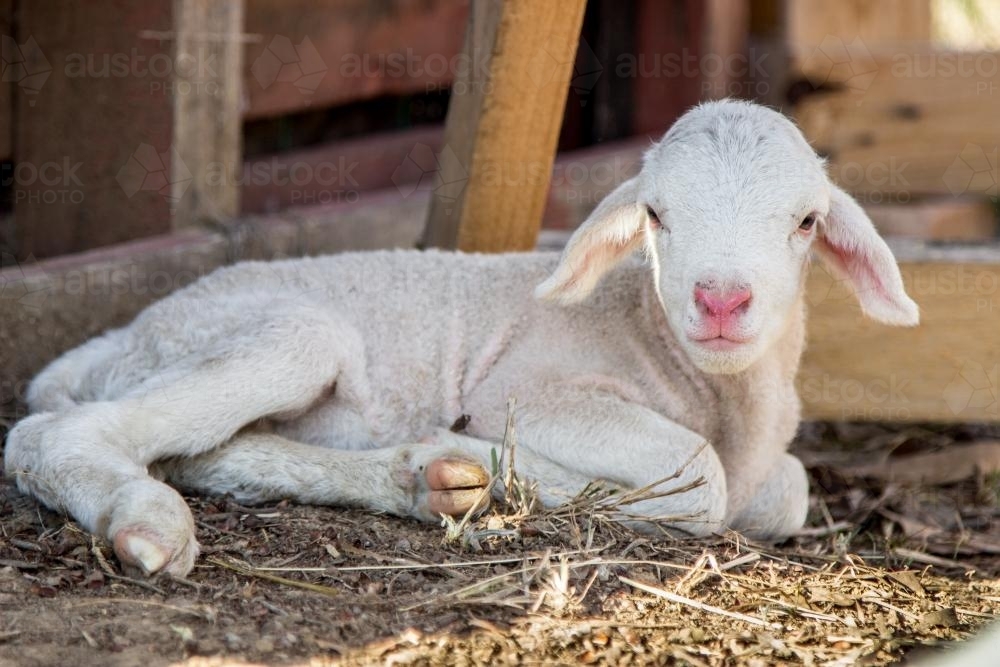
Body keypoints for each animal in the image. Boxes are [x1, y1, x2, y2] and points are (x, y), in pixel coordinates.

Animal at [3, 100, 916, 580]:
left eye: (807, 221)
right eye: (656, 214)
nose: (722, 299)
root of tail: (126, 330)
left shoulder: (771, 463)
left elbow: (786, 488)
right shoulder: (528, 388)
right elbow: (702, 479)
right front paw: (509, 462)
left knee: (209, 450)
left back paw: (427, 478)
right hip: (283, 333)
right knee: (52, 434)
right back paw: (148, 523)